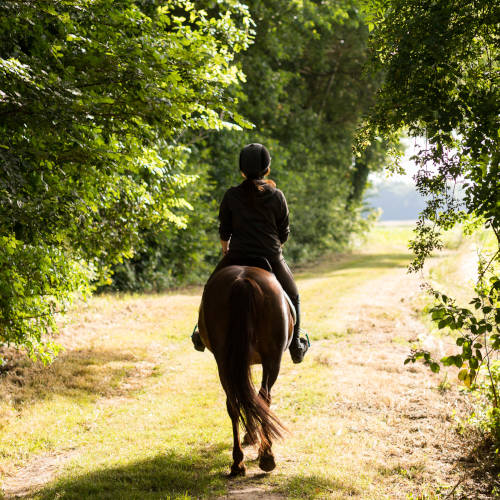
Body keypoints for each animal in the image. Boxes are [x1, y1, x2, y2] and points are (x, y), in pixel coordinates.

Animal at [198, 266, 294, 476]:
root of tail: (242, 281)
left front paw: (251, 435)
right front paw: (252, 436)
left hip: (224, 362)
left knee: (234, 404)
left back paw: (238, 463)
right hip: (272, 360)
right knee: (264, 398)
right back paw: (266, 457)